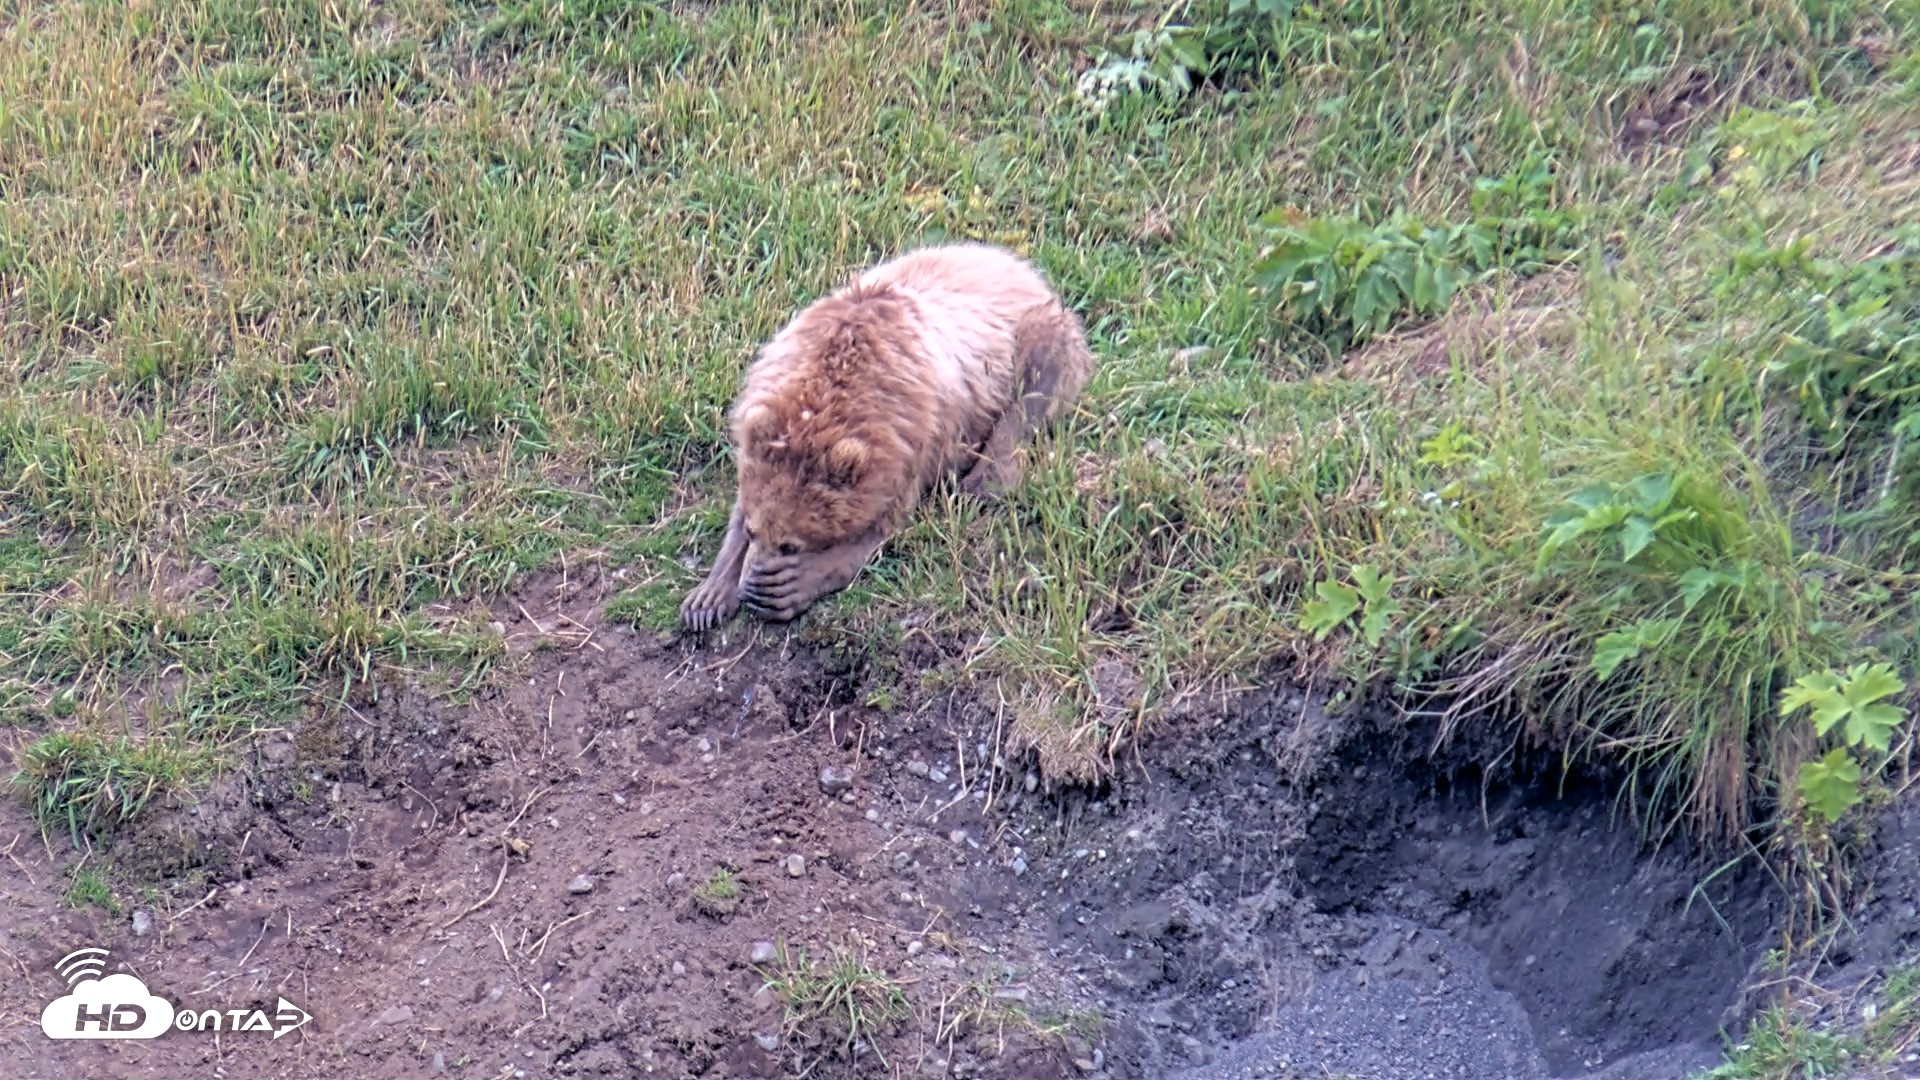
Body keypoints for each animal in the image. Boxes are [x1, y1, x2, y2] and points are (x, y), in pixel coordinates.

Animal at [680, 241, 1095, 631]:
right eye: (753, 530)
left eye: (790, 544)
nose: (752, 588)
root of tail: (1018, 265)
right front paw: (707, 599)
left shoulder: (916, 438)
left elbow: (883, 524)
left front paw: (791, 586)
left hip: (1034, 333)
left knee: (1035, 387)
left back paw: (986, 480)